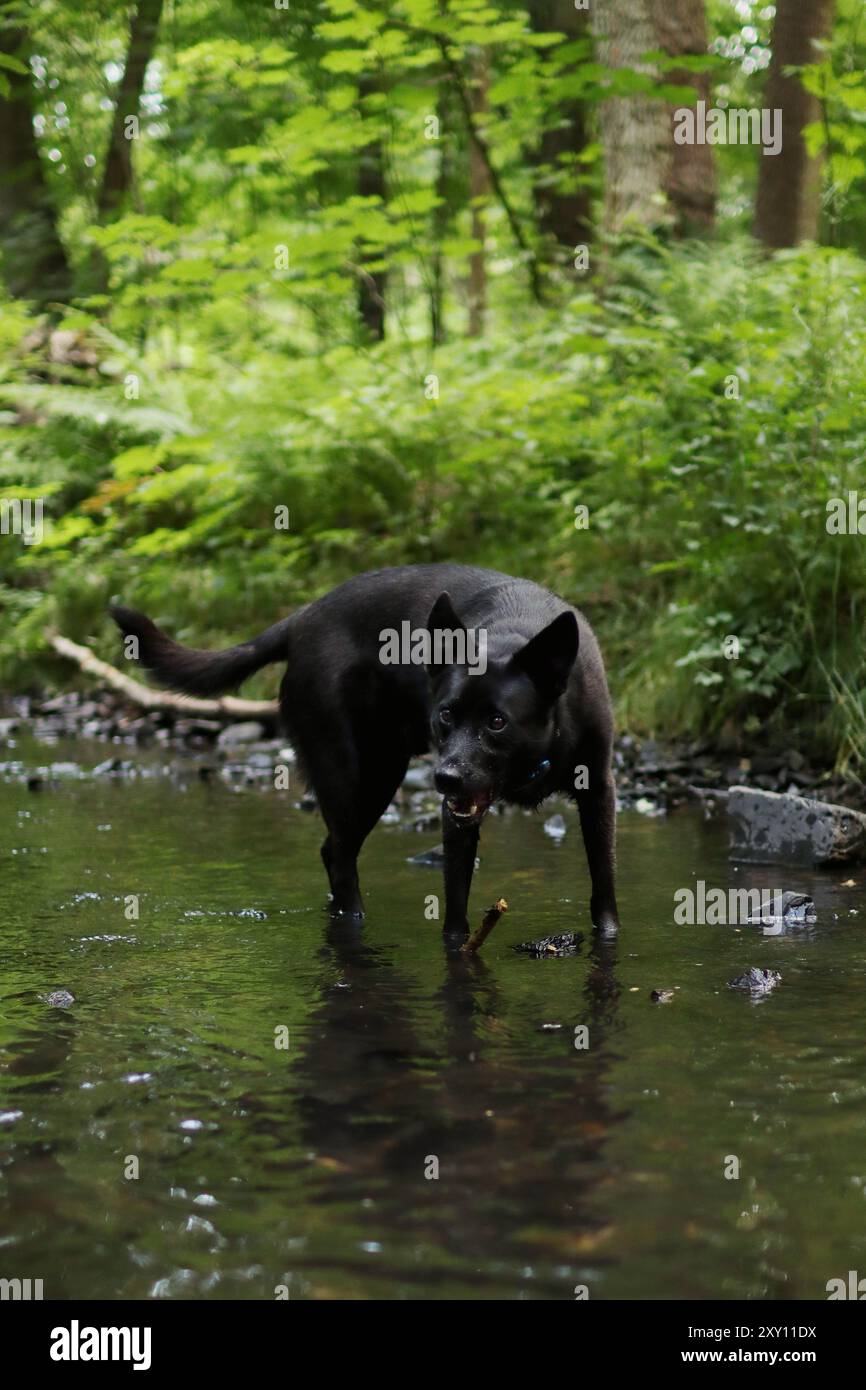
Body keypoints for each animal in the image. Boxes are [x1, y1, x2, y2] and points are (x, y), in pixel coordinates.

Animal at [111, 564, 619, 934]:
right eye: (445, 715)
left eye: (498, 722)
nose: (445, 778)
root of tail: (301, 618)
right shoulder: (455, 815)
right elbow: (456, 903)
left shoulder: (598, 792)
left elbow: (603, 880)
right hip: (354, 775)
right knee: (339, 856)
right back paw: (352, 922)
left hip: (380, 773)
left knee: (331, 851)